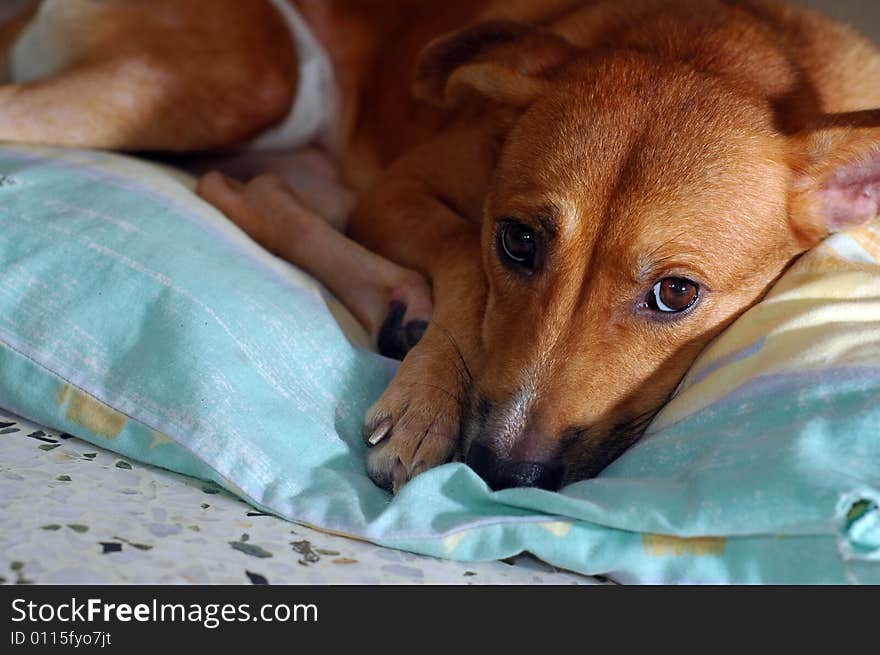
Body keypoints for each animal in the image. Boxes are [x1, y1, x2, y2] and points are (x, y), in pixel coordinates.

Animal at [1, 0, 880, 492]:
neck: (706, 47)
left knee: (241, 188)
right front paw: (426, 403)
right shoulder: (399, 190)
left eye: (676, 293)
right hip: (254, 81)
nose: (498, 473)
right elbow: (461, 252)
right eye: (518, 242)